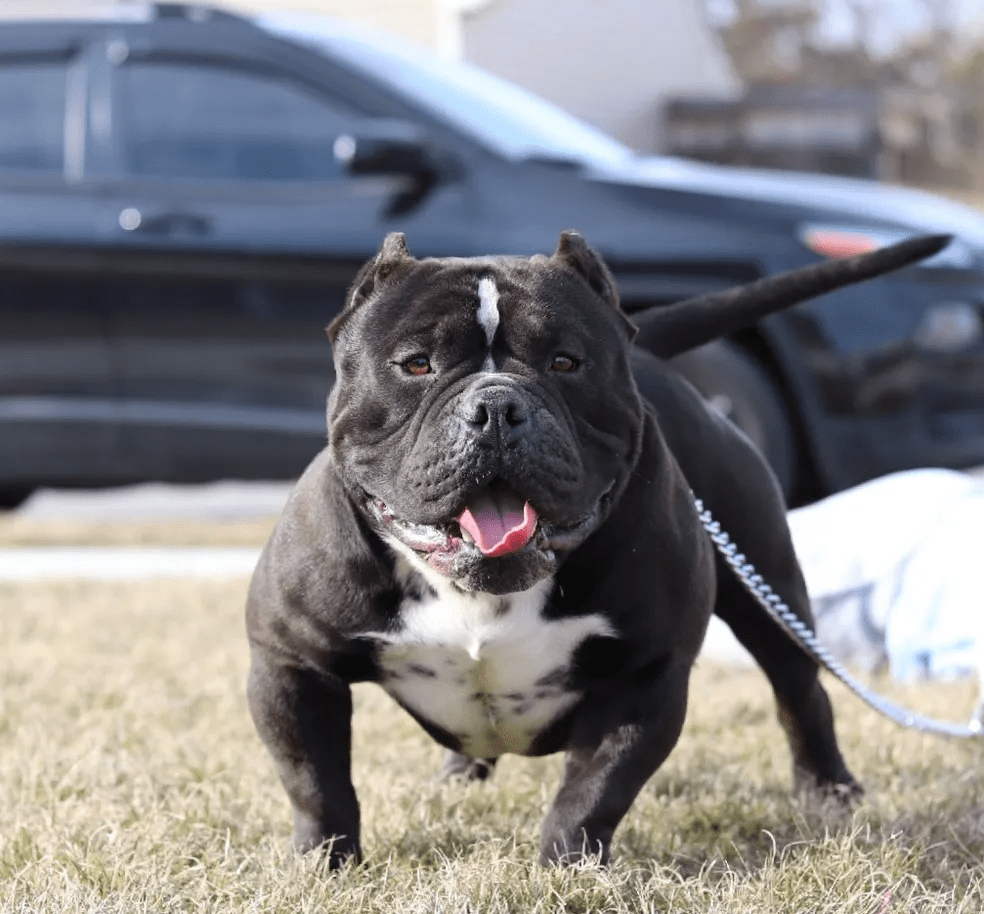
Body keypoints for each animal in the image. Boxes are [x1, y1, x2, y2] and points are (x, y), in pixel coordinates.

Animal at [246, 228, 952, 864]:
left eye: (566, 362)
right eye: (416, 364)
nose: (496, 408)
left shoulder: (646, 674)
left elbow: (593, 792)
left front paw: (567, 867)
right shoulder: (291, 666)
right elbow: (316, 782)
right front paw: (324, 862)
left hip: (769, 589)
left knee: (800, 691)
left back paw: (830, 790)